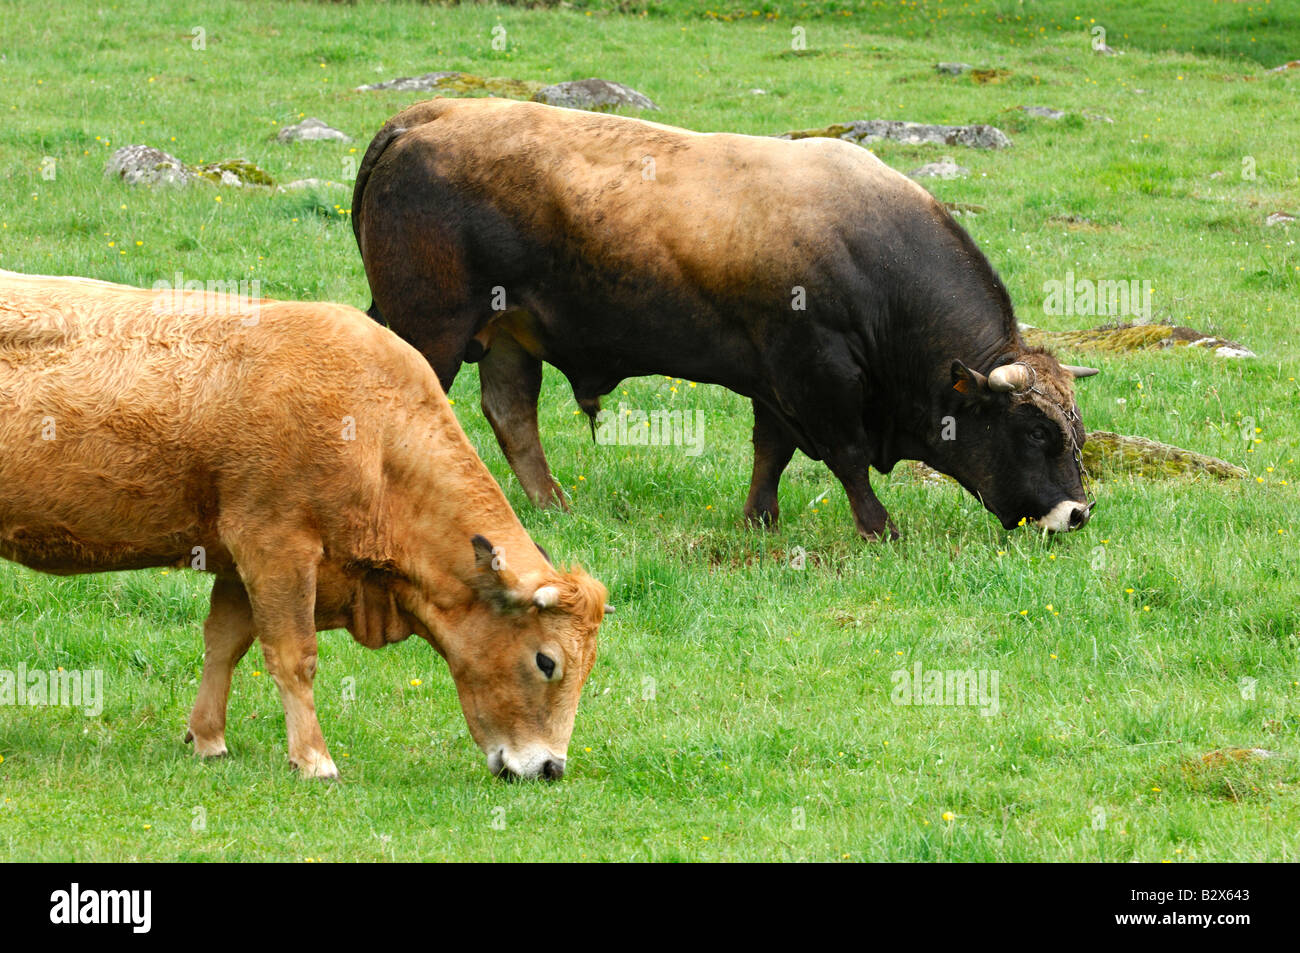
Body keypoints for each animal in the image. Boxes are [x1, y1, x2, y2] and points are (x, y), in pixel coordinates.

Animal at [0, 269, 608, 780]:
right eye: (547, 662)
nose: (551, 769)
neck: (376, 437)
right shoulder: (277, 548)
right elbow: (294, 656)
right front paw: (313, 758)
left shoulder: (238, 560)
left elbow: (224, 644)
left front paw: (209, 739)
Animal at [348, 101, 1097, 543]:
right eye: (1035, 432)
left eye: (1077, 431)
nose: (1078, 512)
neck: (872, 254)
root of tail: (428, 115)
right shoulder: (816, 372)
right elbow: (847, 456)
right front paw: (880, 528)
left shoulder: (775, 380)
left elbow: (772, 451)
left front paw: (760, 521)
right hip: (434, 328)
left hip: (507, 334)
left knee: (511, 415)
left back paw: (553, 507)